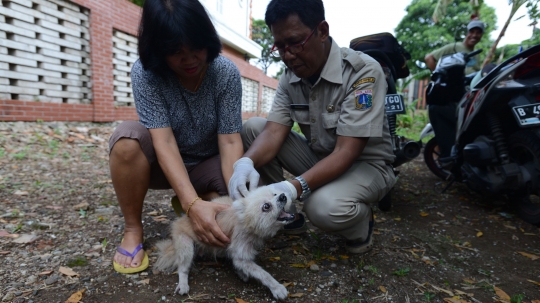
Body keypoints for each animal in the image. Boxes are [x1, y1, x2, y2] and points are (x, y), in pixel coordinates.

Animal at [154, 186, 294, 300]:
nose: (283, 196)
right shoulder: (241, 253)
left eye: (274, 194)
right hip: (186, 244)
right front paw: (277, 288)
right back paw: (183, 284)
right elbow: (263, 273)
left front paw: (242, 273)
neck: (246, 222)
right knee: (183, 268)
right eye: (266, 206)